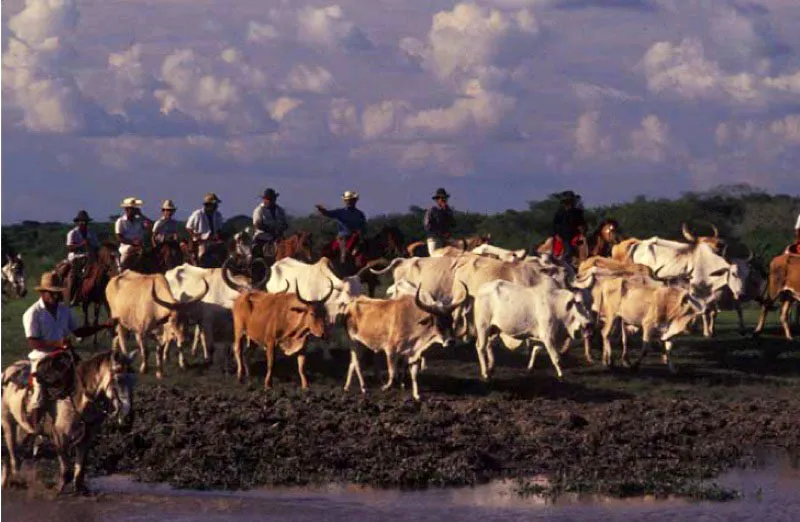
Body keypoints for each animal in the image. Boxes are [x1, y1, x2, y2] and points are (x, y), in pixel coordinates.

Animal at [1, 350, 136, 492]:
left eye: (134, 380)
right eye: (119, 379)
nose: (127, 413)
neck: (77, 397)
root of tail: (8, 371)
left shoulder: (87, 437)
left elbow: (80, 467)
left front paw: (79, 488)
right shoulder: (60, 437)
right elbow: (66, 469)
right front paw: (58, 489)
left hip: (25, 429)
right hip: (8, 422)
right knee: (13, 455)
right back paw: (16, 479)